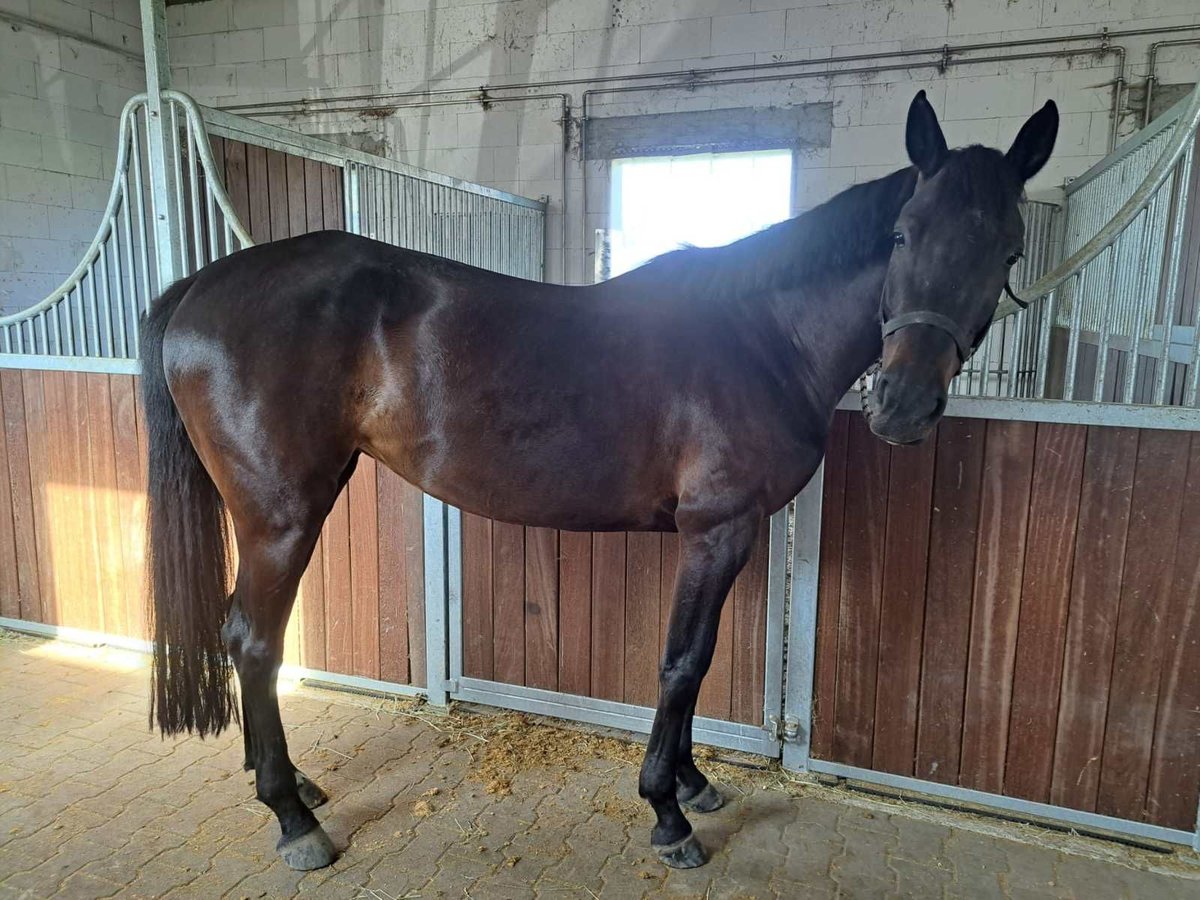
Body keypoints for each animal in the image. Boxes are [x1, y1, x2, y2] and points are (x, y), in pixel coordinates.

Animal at [142, 93, 1060, 873]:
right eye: (903, 235)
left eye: (1008, 251)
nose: (901, 405)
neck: (761, 334)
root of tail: (200, 286)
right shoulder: (717, 529)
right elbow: (681, 663)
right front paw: (668, 813)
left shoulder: (726, 535)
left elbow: (698, 659)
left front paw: (692, 782)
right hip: (280, 515)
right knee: (253, 643)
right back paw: (293, 819)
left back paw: (291, 784)